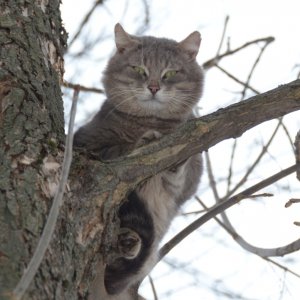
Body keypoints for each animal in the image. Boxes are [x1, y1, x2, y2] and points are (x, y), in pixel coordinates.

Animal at [73, 24, 204, 298]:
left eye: (170, 72)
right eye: (138, 69)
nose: (153, 87)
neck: (150, 121)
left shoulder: (185, 186)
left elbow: (178, 176)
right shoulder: (86, 144)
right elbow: (117, 148)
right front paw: (141, 142)